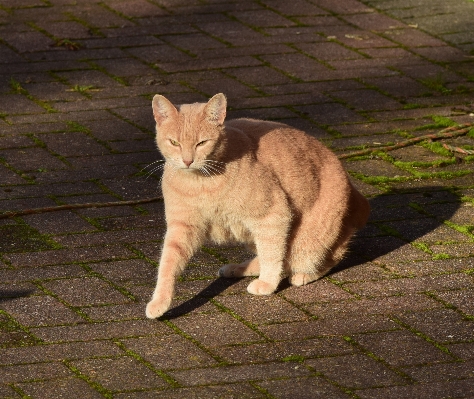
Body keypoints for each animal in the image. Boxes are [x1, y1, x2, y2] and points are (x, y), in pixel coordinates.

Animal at [145, 93, 370, 318]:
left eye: (202, 143)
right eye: (174, 142)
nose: (187, 161)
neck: (200, 183)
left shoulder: (272, 216)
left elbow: (272, 255)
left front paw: (268, 284)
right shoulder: (181, 227)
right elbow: (167, 263)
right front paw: (160, 301)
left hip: (307, 242)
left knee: (323, 256)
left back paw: (302, 275)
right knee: (279, 258)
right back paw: (238, 269)